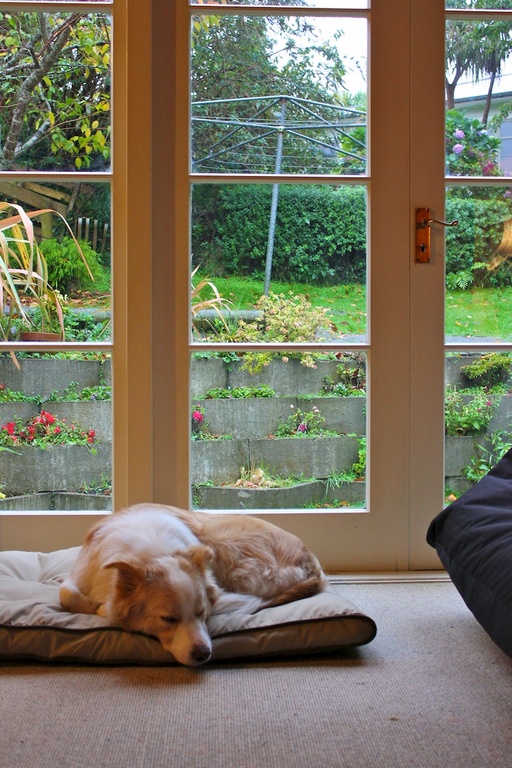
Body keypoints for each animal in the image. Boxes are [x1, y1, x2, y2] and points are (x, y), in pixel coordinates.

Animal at [59, 503, 327, 666]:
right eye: (168, 619)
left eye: (201, 612)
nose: (203, 654)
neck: (153, 553)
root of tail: (313, 564)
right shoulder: (81, 573)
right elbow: (66, 593)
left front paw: (104, 608)